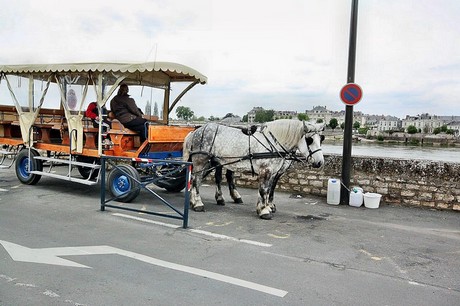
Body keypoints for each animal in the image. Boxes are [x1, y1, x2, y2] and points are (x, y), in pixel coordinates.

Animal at [181, 118, 326, 219]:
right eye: (309, 140)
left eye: (321, 139)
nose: (320, 162)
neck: (273, 142)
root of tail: (196, 131)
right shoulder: (266, 170)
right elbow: (263, 190)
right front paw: (264, 210)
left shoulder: (274, 172)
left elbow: (269, 190)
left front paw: (267, 206)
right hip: (201, 161)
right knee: (196, 181)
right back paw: (198, 203)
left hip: (213, 162)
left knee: (198, 179)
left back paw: (196, 201)